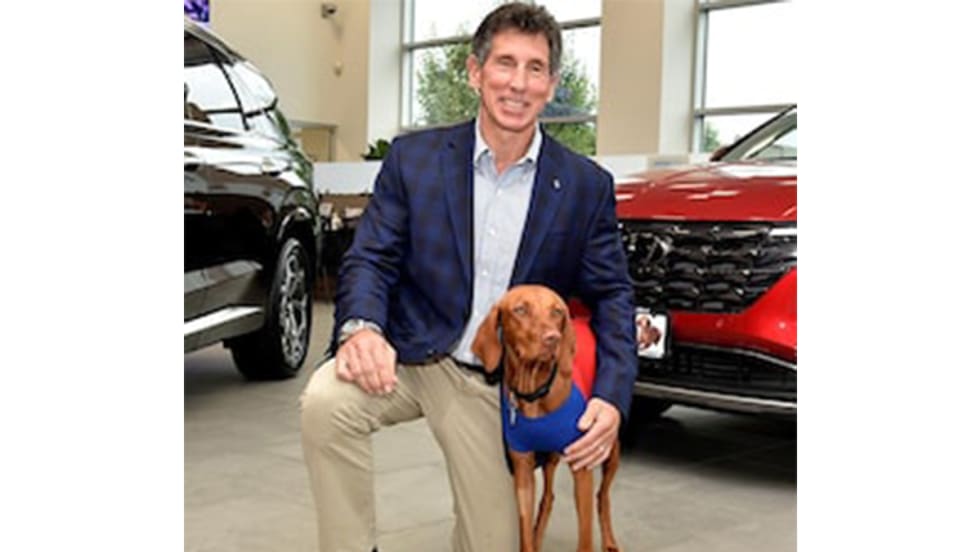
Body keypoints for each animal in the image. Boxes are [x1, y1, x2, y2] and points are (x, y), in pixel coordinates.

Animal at [472, 284, 621, 552]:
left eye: (558, 311)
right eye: (520, 309)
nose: (553, 339)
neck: (534, 393)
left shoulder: (582, 466)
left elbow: (585, 536)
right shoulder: (523, 468)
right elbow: (525, 532)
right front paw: (531, 538)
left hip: (609, 447)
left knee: (602, 496)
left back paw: (610, 542)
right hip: (549, 457)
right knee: (549, 496)